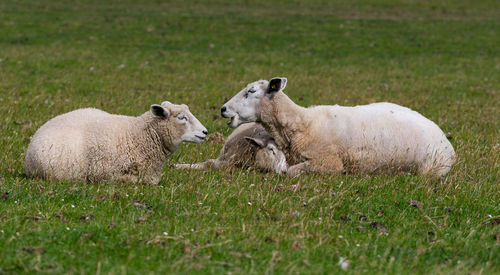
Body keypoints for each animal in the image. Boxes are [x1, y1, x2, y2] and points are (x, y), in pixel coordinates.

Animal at [221, 77, 456, 179]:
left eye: (251, 91)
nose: (223, 109)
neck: (304, 124)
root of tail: (447, 142)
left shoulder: (330, 162)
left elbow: (291, 171)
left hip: (430, 169)